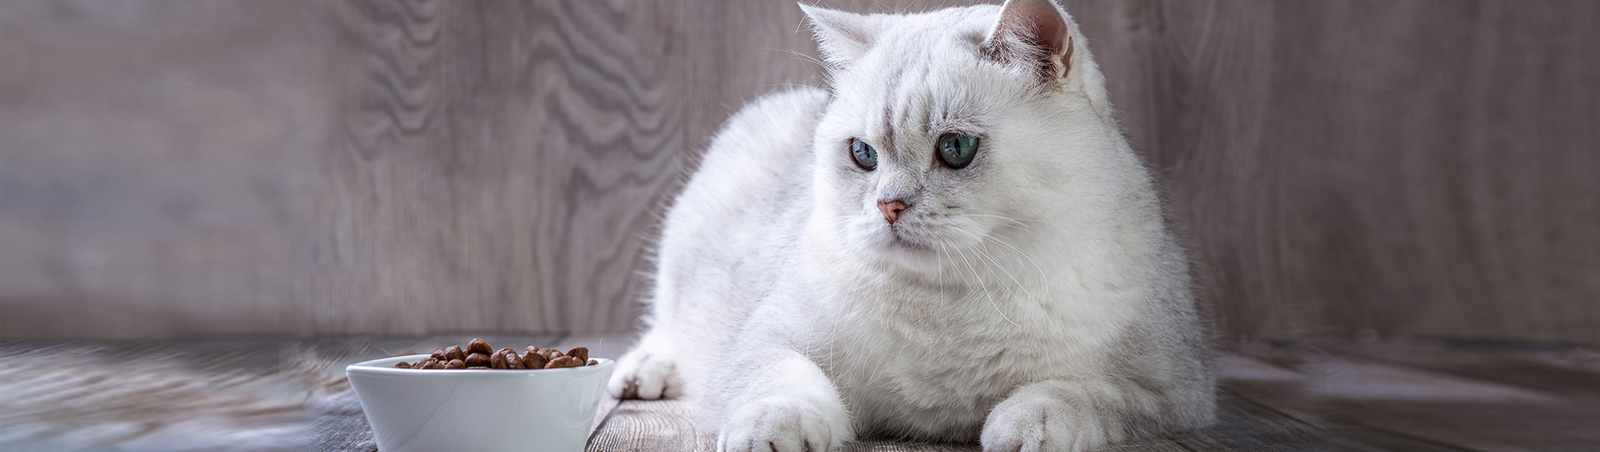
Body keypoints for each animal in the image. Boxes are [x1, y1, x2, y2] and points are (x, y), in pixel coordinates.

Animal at [608, 1, 1209, 448]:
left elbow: (1073, 394)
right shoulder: (764, 340)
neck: (950, 306)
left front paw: (1024, 427)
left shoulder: (1168, 390)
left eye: (956, 148)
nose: (888, 206)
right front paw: (775, 432)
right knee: (663, 327)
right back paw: (639, 375)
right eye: (863, 154)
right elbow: (780, 382)